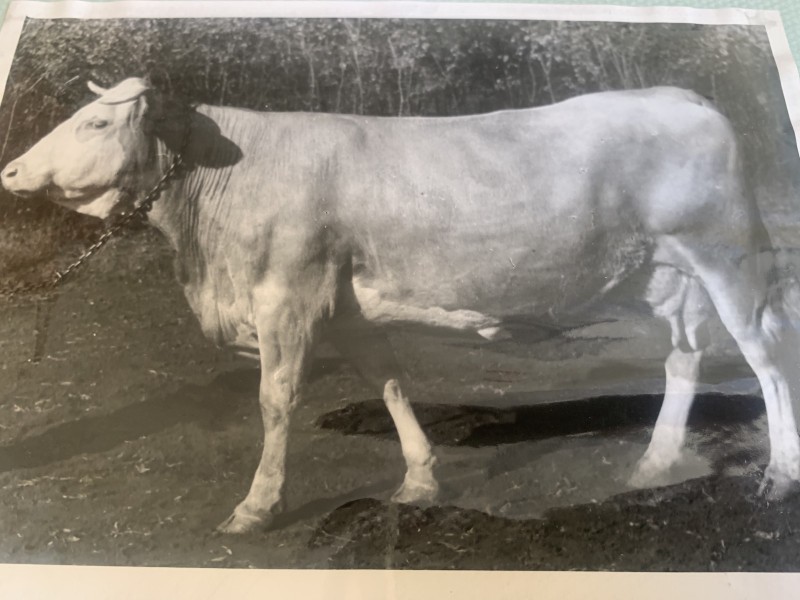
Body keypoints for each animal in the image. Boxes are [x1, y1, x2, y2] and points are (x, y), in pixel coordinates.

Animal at [3, 77, 800, 534]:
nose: (10, 170)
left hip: (729, 255)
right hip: (664, 277)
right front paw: (420, 478)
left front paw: (258, 505)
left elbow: (275, 399)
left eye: (97, 124)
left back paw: (779, 474)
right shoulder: (346, 306)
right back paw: (656, 461)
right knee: (684, 357)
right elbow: (387, 383)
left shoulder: (285, 293)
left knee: (766, 358)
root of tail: (679, 94)